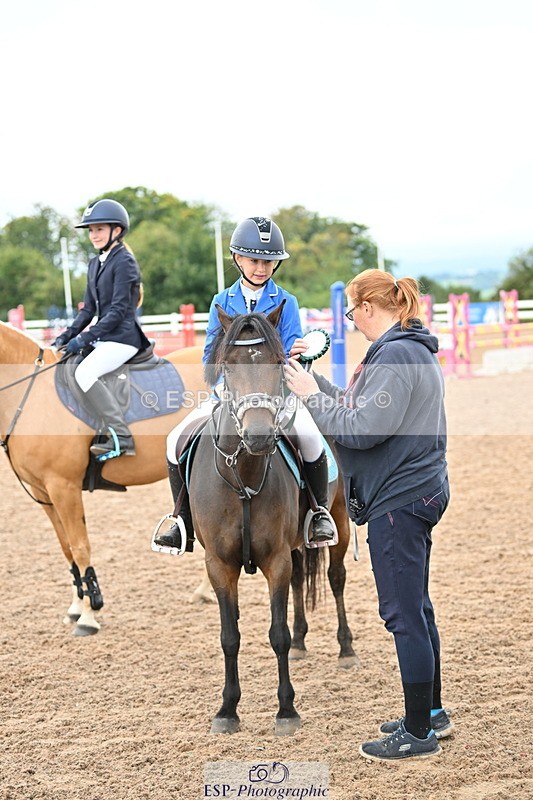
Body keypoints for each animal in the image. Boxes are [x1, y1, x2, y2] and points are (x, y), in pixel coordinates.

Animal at [0, 321, 207, 636]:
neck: (29, 393)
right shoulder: (44, 492)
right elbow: (67, 548)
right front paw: (76, 607)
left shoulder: (63, 487)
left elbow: (80, 547)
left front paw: (88, 615)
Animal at [186, 303, 357, 736]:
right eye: (227, 366)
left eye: (279, 362)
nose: (260, 435)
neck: (244, 476)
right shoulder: (219, 565)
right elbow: (229, 636)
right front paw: (227, 710)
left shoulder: (275, 560)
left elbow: (275, 633)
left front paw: (286, 710)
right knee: (300, 580)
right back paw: (301, 644)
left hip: (340, 523)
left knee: (335, 578)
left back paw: (346, 648)